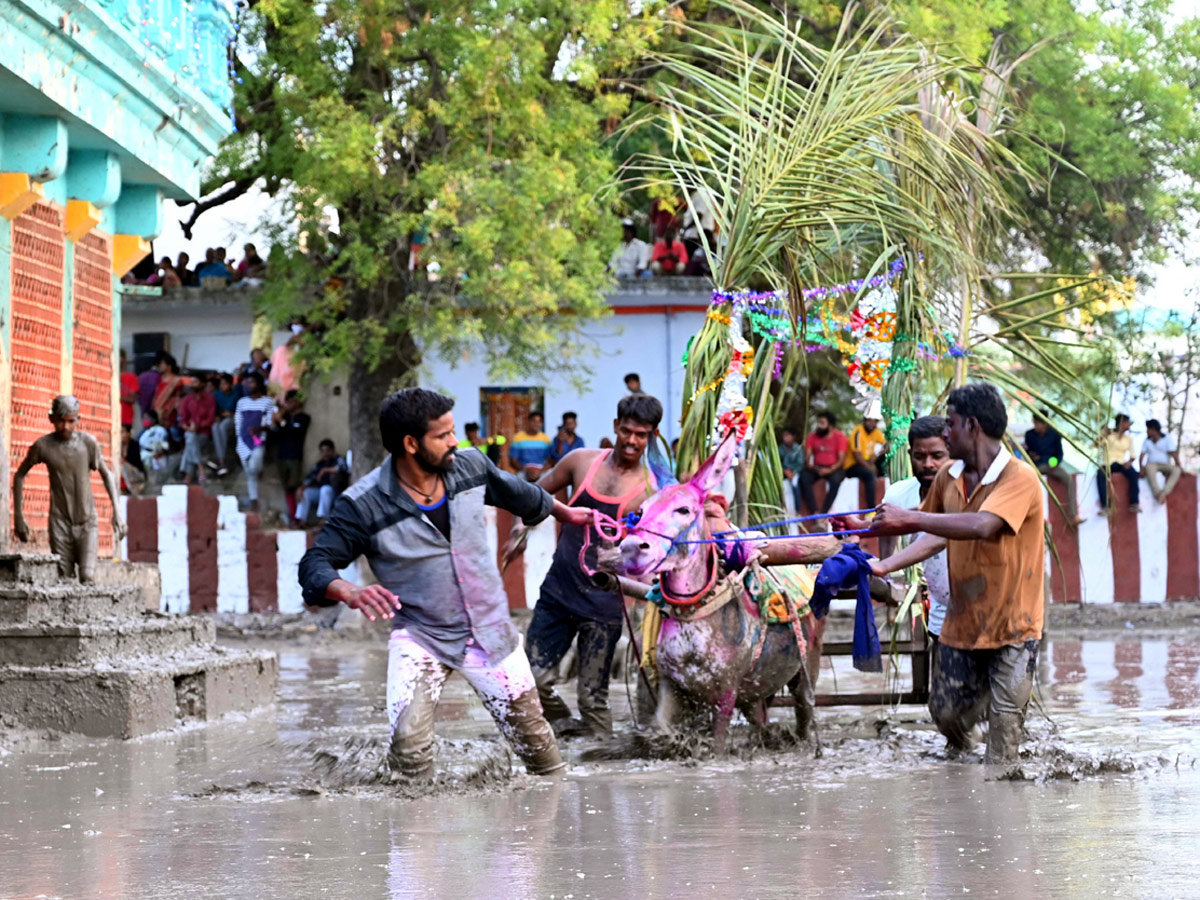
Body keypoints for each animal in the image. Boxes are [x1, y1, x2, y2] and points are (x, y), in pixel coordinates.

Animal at [614, 436, 830, 753]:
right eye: (640, 511)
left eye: (683, 510)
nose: (630, 548)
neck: (694, 612)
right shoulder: (670, 686)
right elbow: (660, 732)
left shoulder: (726, 692)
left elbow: (717, 745)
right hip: (757, 688)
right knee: (760, 718)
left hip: (807, 667)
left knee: (804, 709)